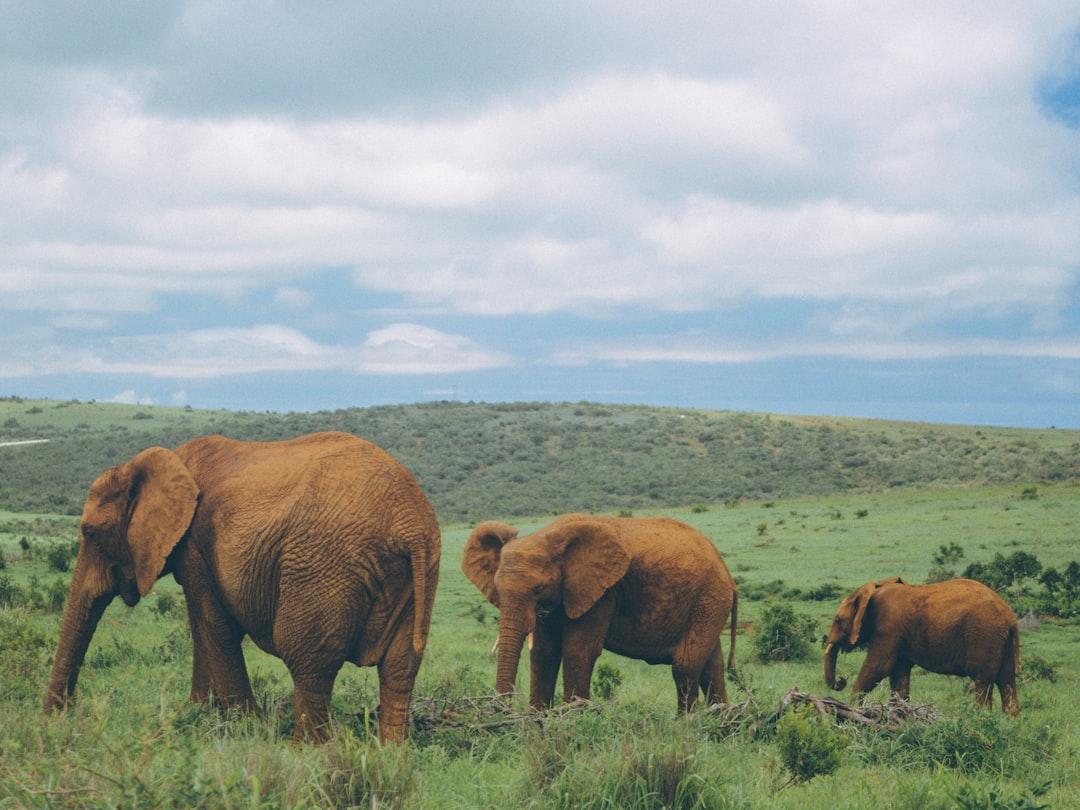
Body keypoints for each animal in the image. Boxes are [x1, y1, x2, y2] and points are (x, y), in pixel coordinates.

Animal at [42, 434, 438, 747]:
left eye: (92, 534)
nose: (59, 720)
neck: (163, 460)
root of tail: (410, 521)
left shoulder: (194, 544)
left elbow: (214, 626)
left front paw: (247, 729)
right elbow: (202, 629)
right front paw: (198, 715)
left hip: (325, 563)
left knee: (309, 660)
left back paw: (305, 752)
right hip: (421, 570)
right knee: (399, 667)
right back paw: (391, 755)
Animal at [460, 516, 738, 712]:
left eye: (538, 589)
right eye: (497, 589)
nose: (498, 708)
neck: (549, 535)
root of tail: (727, 572)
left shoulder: (603, 592)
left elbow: (578, 650)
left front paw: (570, 717)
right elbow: (544, 651)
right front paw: (536, 721)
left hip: (709, 597)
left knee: (685, 664)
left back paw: (686, 726)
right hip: (710, 602)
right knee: (712, 666)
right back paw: (721, 719)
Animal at [825, 578, 1019, 717]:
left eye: (838, 620)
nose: (841, 680)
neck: (875, 589)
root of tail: (1011, 618)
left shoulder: (887, 628)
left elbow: (879, 667)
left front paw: (851, 709)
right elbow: (899, 673)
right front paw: (900, 712)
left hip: (985, 636)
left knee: (982, 680)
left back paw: (981, 717)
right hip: (1001, 639)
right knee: (1007, 680)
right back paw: (1009, 722)